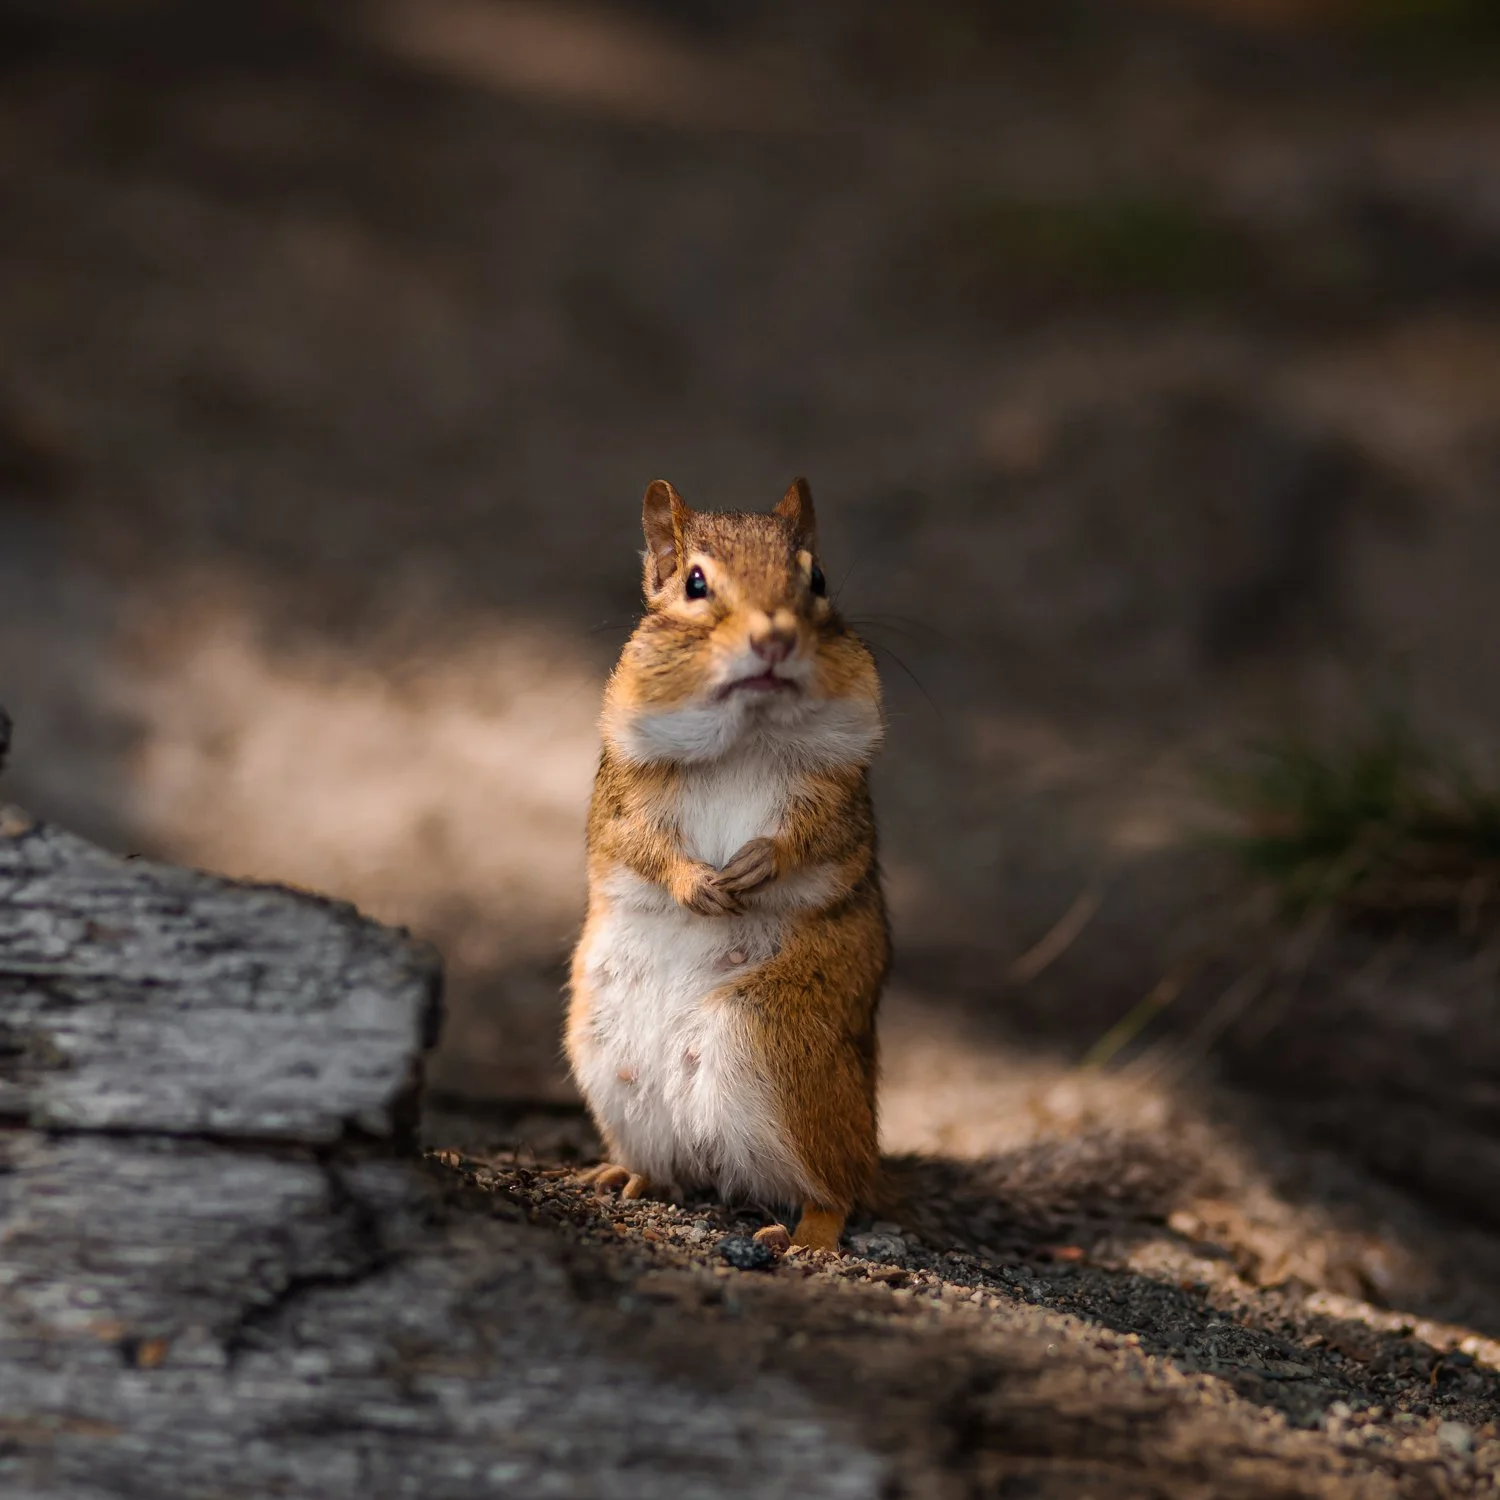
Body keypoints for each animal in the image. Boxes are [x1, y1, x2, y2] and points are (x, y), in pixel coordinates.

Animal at [566, 477, 889, 1254]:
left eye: (818, 577)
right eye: (694, 582)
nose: (774, 638)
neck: (747, 735)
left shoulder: (838, 795)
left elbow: (814, 836)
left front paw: (758, 864)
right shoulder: (625, 794)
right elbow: (637, 843)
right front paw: (697, 883)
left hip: (778, 1046)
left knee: (838, 1192)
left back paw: (809, 1234)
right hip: (612, 1073)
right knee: (677, 1167)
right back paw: (632, 1176)